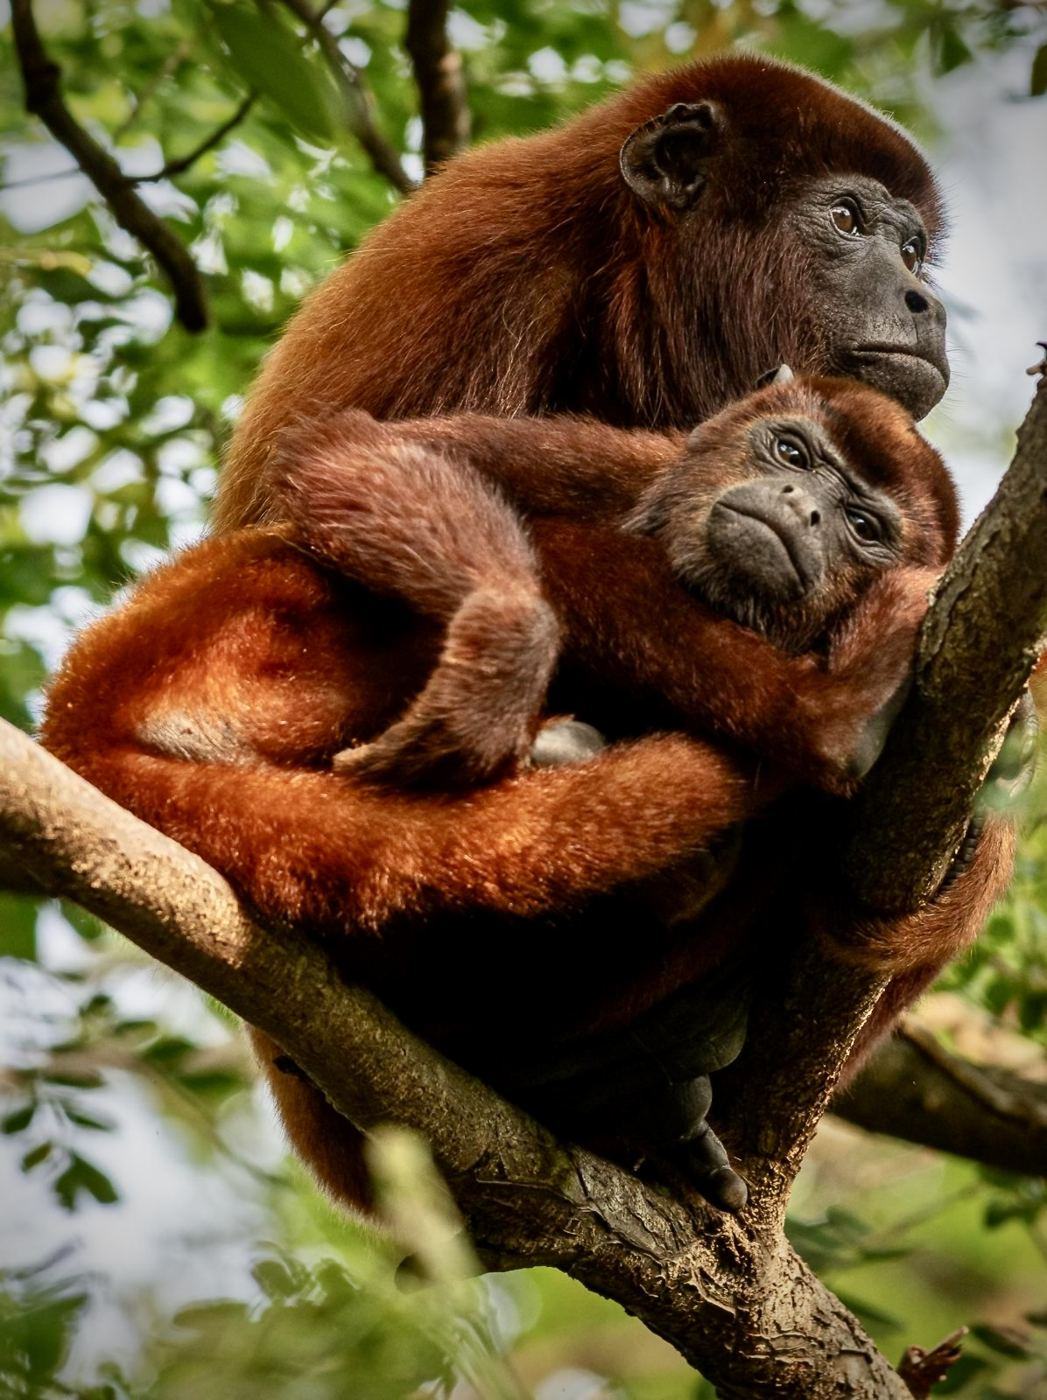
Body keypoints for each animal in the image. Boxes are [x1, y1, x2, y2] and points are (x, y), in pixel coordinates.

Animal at [42, 374, 1016, 1215]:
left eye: (862, 524)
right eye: (792, 452)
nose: (803, 507)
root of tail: (81, 709)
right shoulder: (615, 460)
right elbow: (350, 453)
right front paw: (510, 642)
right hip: (245, 639)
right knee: (547, 546)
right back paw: (835, 718)